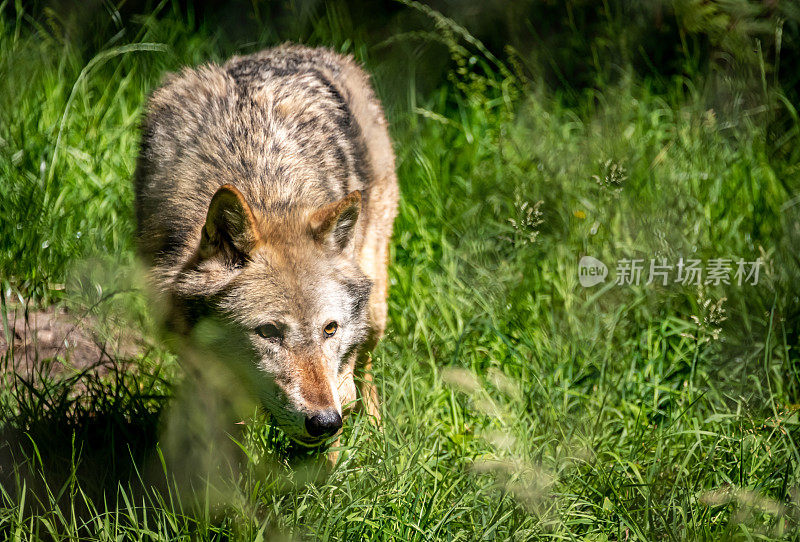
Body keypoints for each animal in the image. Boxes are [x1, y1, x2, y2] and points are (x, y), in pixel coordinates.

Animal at [136, 44, 400, 448]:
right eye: (268, 332)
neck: (263, 188)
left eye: (329, 329)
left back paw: (376, 434)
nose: (324, 422)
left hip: (374, 311)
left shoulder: (337, 380)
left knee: (365, 369)